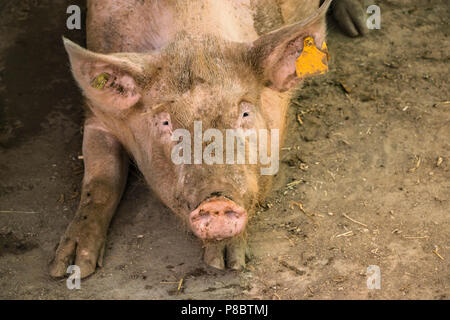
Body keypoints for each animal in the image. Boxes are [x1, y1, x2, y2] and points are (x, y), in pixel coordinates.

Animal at [49, 0, 358, 278]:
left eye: (245, 112)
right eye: (166, 122)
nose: (217, 201)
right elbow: (100, 183)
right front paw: (69, 269)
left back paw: (358, 28)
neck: (193, 26)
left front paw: (229, 263)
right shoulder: (96, 114)